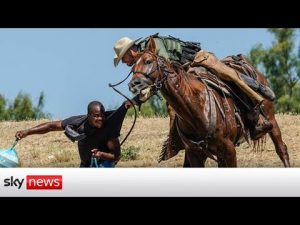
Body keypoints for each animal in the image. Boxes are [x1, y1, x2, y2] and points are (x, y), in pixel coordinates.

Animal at [128, 37, 290, 167]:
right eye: (133, 67)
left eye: (148, 61)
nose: (133, 84)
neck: (196, 108)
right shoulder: (195, 154)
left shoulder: (229, 150)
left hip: (271, 118)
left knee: (281, 149)